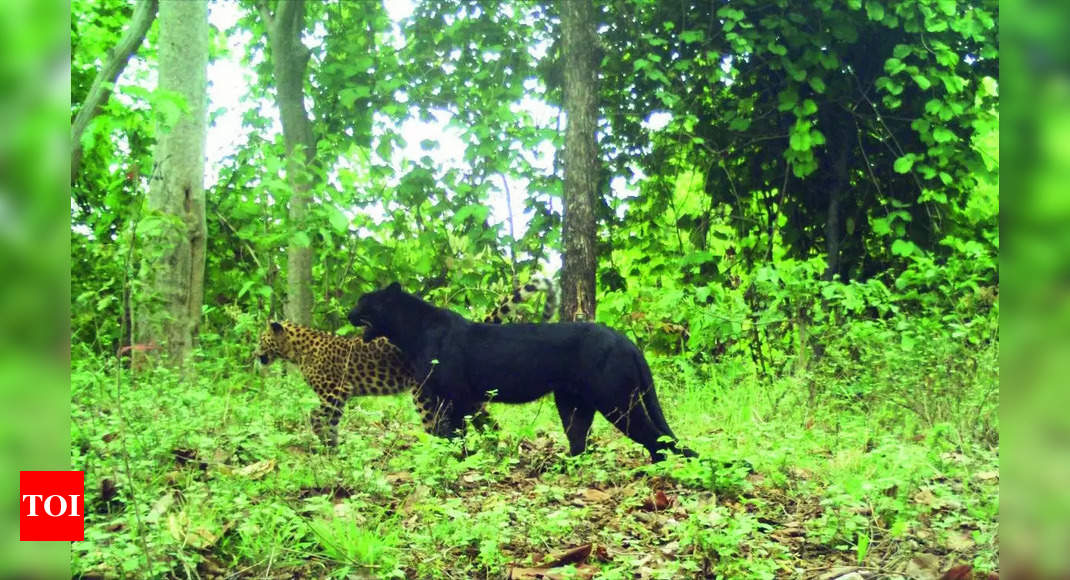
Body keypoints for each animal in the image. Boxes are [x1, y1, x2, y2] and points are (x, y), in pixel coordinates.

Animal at [250, 276, 552, 445]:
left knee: (437, 425)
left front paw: (325, 442)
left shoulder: (335, 392)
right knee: (487, 421)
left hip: (422, 393)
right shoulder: (338, 396)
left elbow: (318, 416)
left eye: (261, 340)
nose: (254, 355)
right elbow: (330, 421)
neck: (297, 350)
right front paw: (331, 446)